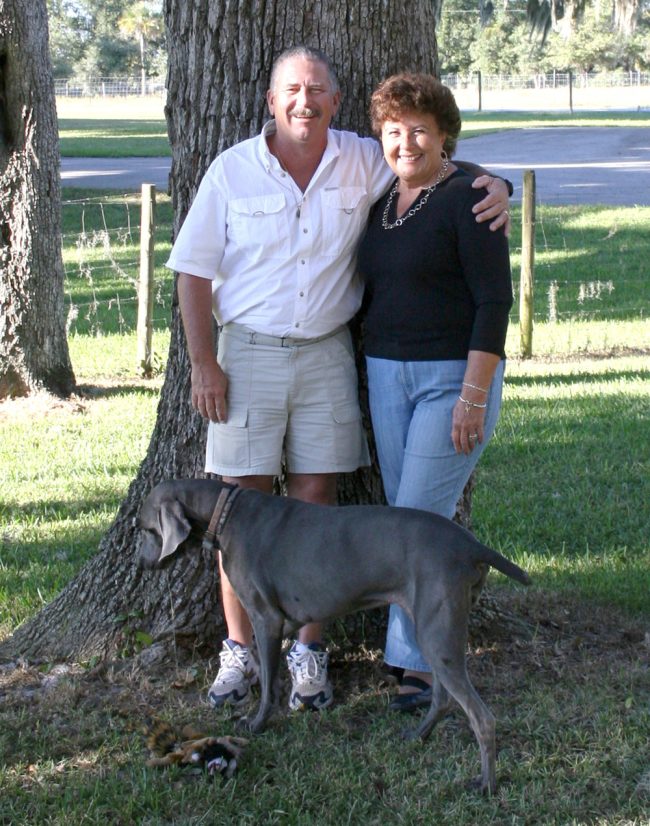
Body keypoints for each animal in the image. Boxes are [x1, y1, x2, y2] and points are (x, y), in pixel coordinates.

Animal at [138, 476, 528, 792]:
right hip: (432, 629)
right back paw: (418, 735)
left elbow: (267, 675)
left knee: (482, 717)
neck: (225, 511)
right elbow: (268, 668)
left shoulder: (265, 616)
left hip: (437, 629)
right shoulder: (282, 621)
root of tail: (471, 545)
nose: (144, 564)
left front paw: (257, 722)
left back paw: (486, 784)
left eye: (143, 528)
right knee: (443, 698)